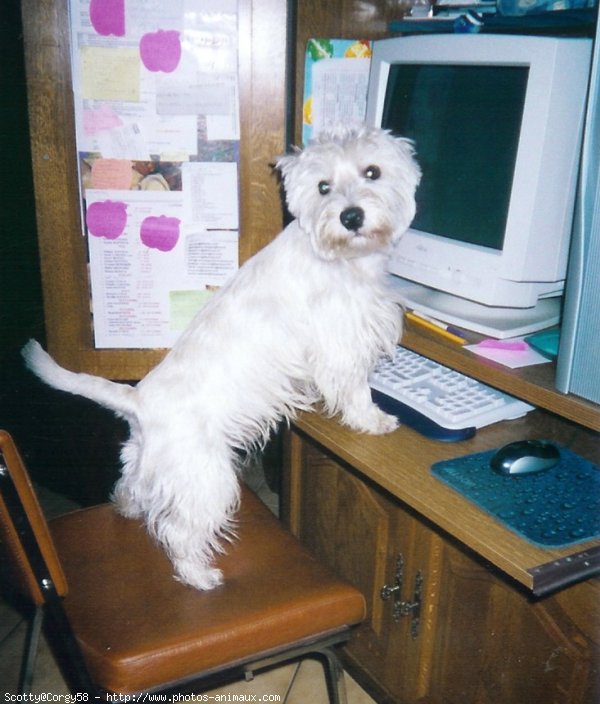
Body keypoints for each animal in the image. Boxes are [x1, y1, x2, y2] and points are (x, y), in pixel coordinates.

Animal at [22, 125, 418, 588]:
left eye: (372, 171)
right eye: (323, 187)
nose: (351, 217)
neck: (341, 255)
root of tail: (138, 403)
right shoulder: (341, 343)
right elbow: (357, 390)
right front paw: (376, 420)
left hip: (150, 460)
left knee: (132, 485)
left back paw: (126, 508)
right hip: (207, 476)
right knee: (178, 530)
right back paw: (200, 576)